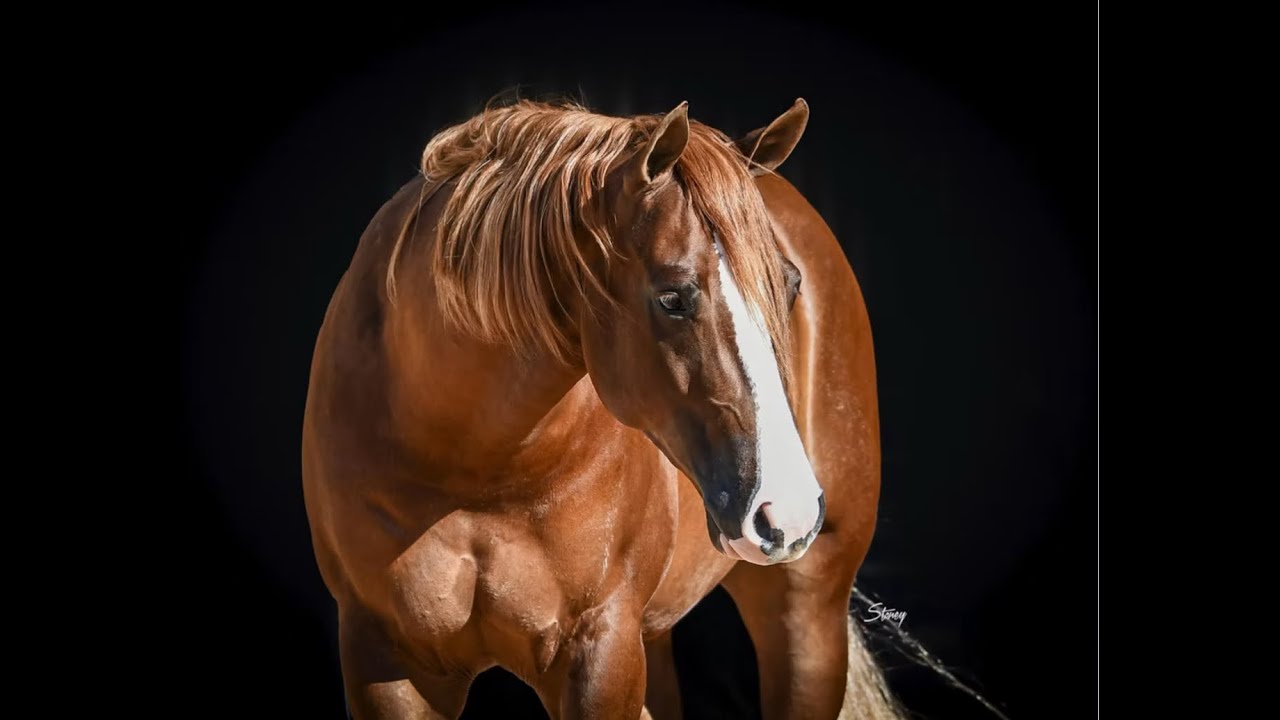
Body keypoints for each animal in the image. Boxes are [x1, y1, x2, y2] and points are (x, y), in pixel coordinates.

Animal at [302, 98, 894, 719]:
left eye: (789, 284)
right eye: (672, 297)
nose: (789, 510)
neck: (473, 468)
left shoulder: (601, 648)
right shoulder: (385, 657)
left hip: (806, 615)